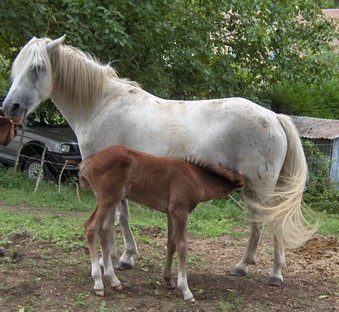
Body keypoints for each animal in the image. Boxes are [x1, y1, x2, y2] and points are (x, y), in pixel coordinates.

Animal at [2, 36, 318, 290]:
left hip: (263, 187)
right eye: (16, 68)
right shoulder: (116, 184)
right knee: (256, 224)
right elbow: (120, 217)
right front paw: (123, 258)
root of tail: (273, 116)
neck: (102, 106)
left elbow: (116, 220)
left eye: (37, 68)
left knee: (273, 223)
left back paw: (275, 274)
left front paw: (116, 261)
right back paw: (242, 266)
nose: (10, 107)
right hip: (251, 188)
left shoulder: (112, 184)